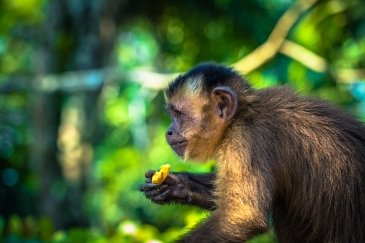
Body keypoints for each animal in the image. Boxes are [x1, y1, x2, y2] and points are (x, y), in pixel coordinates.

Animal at [139, 63, 364, 243]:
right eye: (172, 115)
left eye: (178, 114)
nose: (169, 131)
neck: (241, 115)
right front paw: (179, 185)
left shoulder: (245, 140)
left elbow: (243, 216)